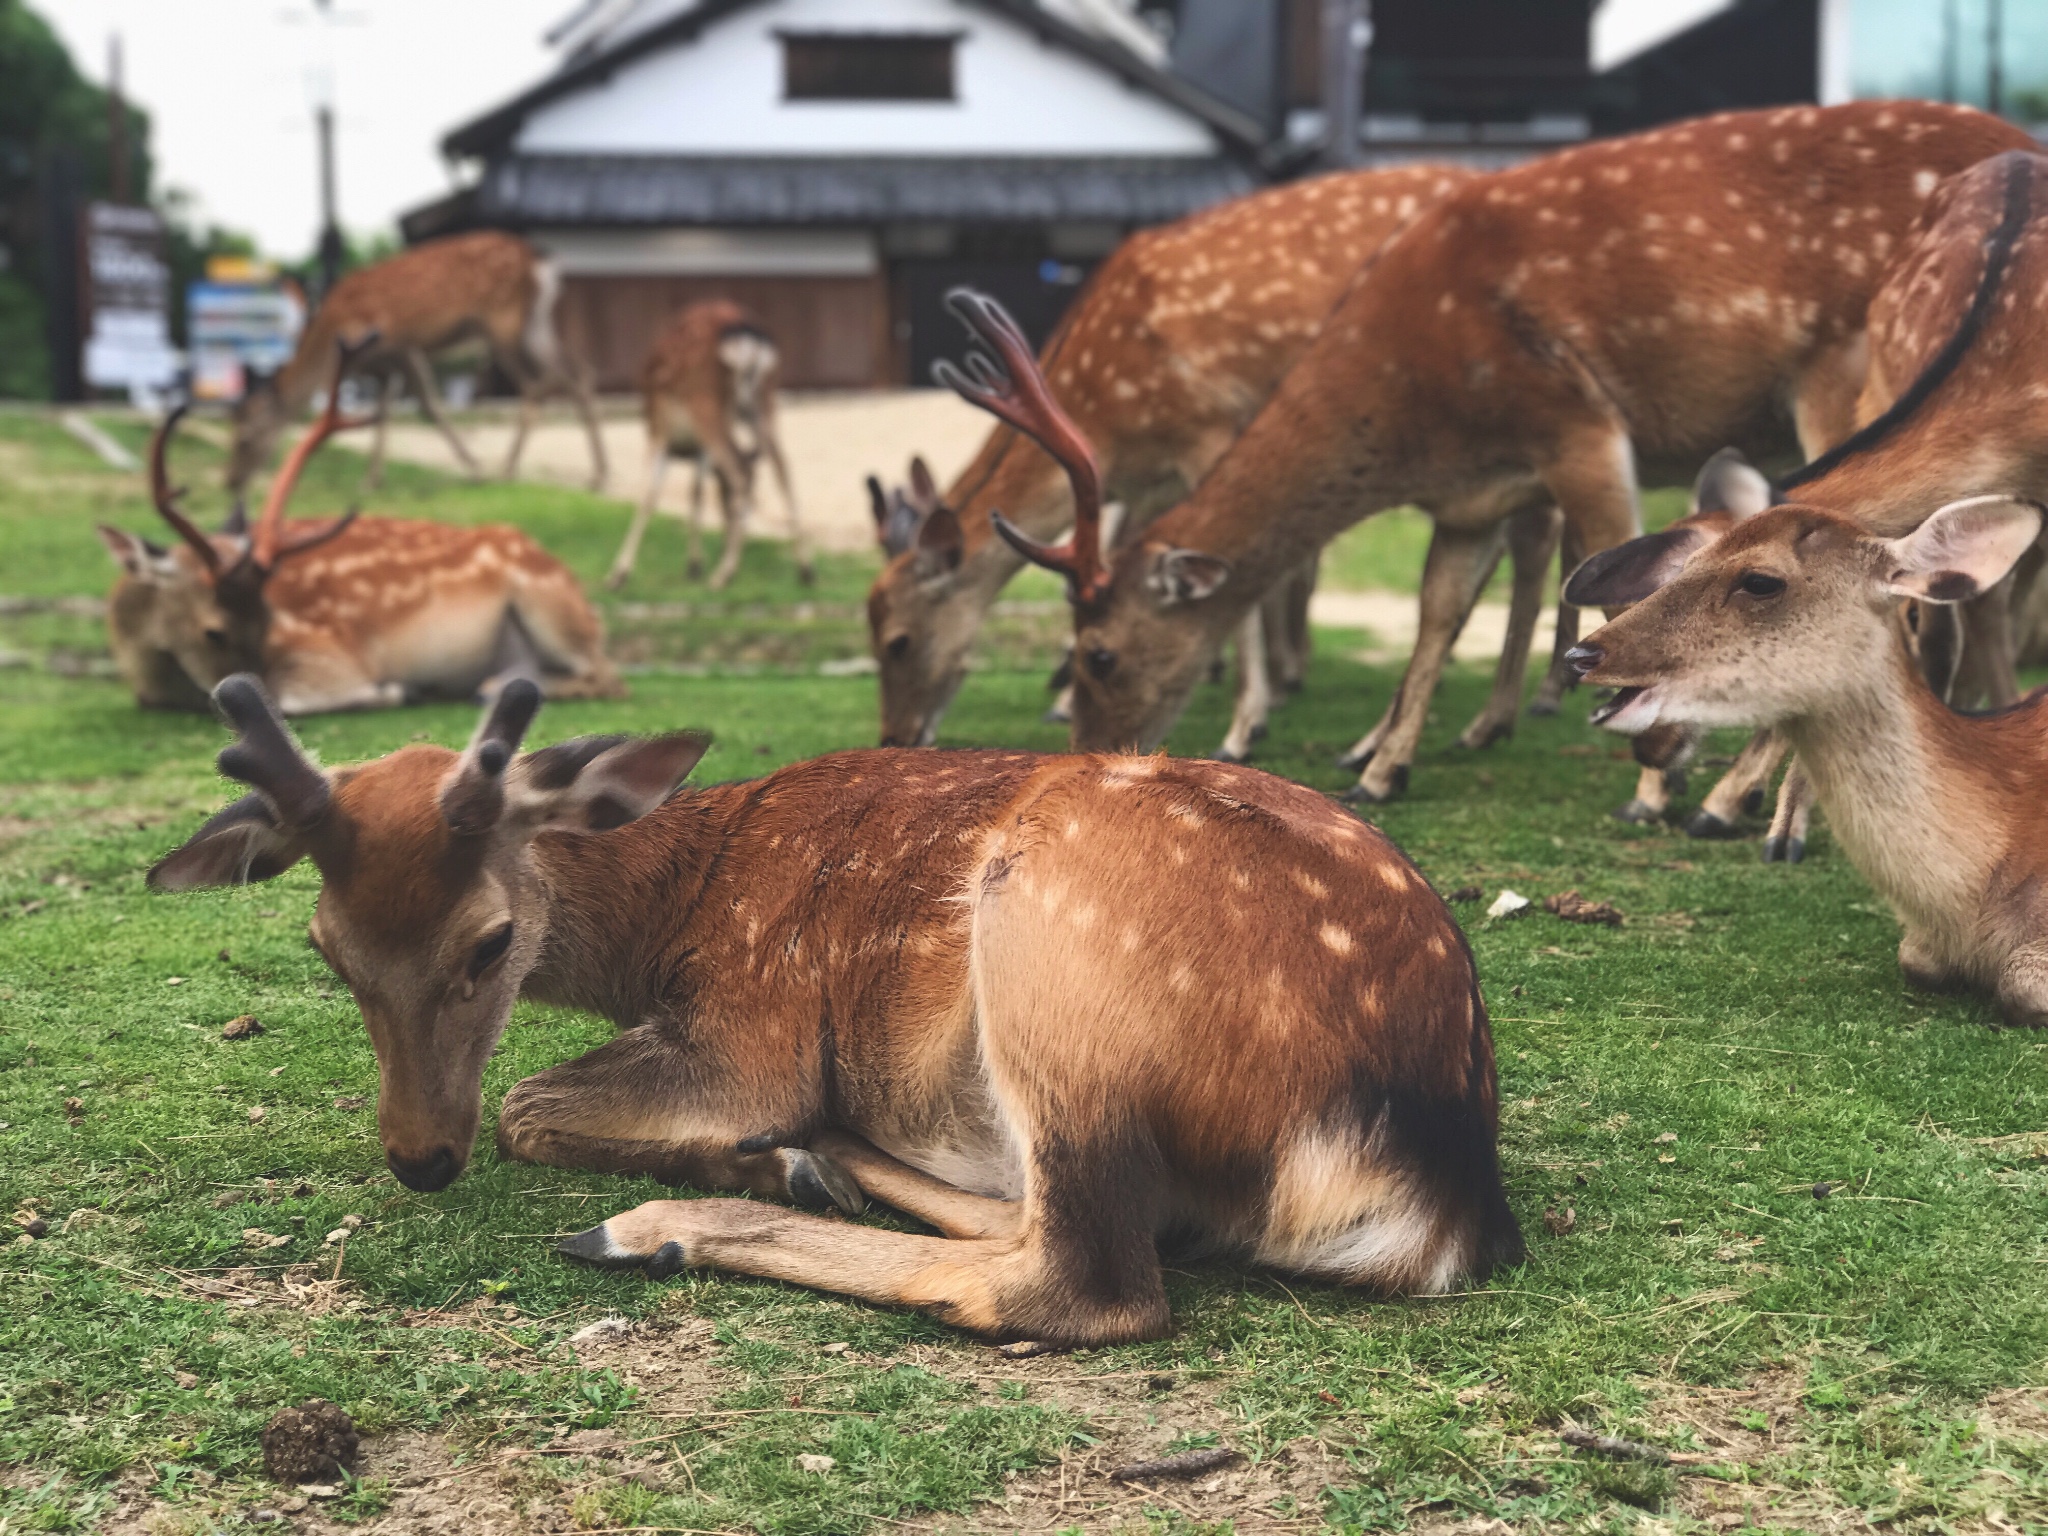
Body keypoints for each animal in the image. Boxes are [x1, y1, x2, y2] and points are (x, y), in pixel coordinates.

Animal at [148, 675, 1523, 1343]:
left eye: (489, 942)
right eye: (325, 949)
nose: (418, 1157)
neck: (679, 905)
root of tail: (1440, 1191)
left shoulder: (750, 1026)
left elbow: (530, 1107)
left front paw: (737, 1156)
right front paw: (786, 1158)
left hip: (1056, 950)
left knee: (1087, 1282)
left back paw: (660, 1222)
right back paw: (818, 1165)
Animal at [864, 165, 1581, 761]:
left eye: (897, 640)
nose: (894, 737)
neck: (1106, 410)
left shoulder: (1209, 428)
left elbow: (1237, 590)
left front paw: (1244, 725)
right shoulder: (1149, 481)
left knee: (1535, 535)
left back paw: (1511, 707)